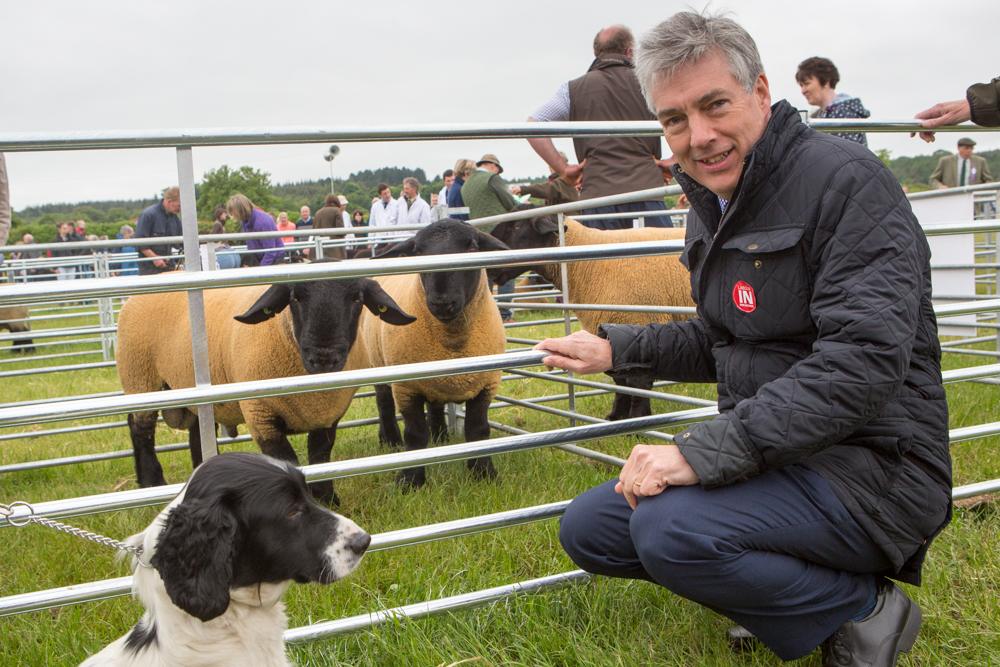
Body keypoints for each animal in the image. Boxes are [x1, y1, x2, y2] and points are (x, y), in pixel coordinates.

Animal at [117, 268, 414, 506]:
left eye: (357, 299)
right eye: (295, 298)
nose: (324, 357)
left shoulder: (327, 414)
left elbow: (320, 457)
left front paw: (327, 500)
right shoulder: (260, 415)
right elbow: (287, 461)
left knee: (194, 431)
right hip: (140, 376)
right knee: (140, 428)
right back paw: (152, 483)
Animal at [362, 222, 512, 488]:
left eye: (472, 247)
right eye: (418, 252)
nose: (442, 302)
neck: (453, 341)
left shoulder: (486, 383)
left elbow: (478, 431)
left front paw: (484, 474)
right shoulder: (407, 387)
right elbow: (415, 435)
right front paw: (410, 481)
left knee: (435, 405)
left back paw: (440, 437)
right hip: (377, 362)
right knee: (384, 403)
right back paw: (390, 441)